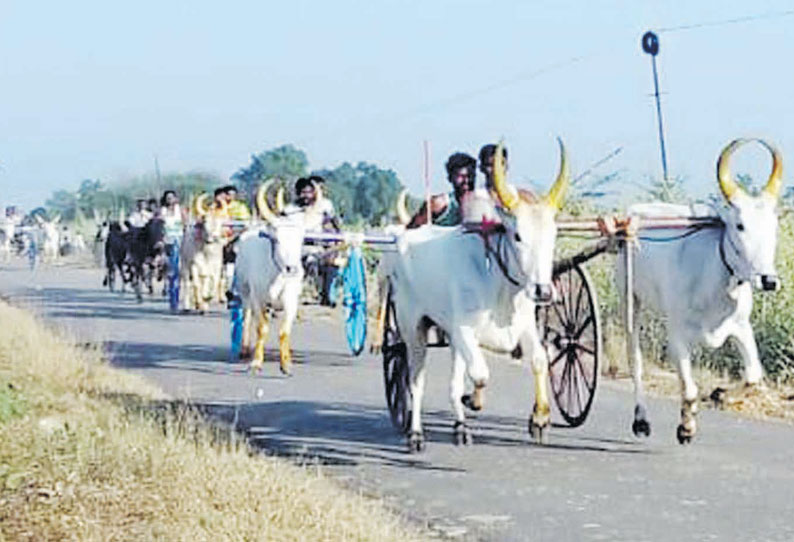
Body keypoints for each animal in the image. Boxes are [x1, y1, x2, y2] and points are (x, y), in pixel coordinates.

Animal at [234, 181, 304, 376]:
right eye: (277, 239)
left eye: (300, 240)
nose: (292, 269)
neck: (277, 274)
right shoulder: (258, 298)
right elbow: (261, 328)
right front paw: (256, 362)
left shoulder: (291, 300)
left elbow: (284, 331)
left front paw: (286, 364)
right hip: (245, 292)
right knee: (247, 316)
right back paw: (244, 349)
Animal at [380, 141, 568, 454]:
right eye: (518, 235)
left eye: (553, 235)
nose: (543, 290)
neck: (500, 285)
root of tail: (404, 236)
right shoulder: (464, 330)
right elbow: (480, 374)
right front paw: (474, 400)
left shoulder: (523, 326)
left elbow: (539, 360)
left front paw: (540, 419)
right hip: (411, 325)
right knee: (415, 378)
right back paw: (416, 434)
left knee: (453, 380)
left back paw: (460, 427)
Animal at [620, 139, 780, 446]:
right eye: (740, 225)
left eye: (774, 227)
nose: (768, 280)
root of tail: (633, 211)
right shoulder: (677, 335)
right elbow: (690, 389)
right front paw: (686, 428)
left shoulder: (741, 327)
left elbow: (753, 377)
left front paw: (719, 394)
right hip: (630, 299)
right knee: (636, 360)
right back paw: (640, 419)